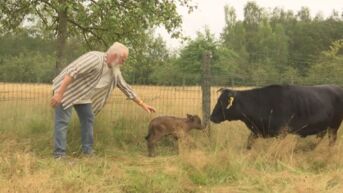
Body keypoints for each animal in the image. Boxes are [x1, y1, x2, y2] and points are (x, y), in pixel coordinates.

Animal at [211, 85, 343, 149]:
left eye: (223, 102)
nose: (212, 117)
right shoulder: (256, 131)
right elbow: (248, 144)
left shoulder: (281, 132)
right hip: (324, 127)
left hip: (334, 126)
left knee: (332, 140)